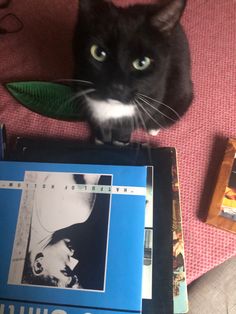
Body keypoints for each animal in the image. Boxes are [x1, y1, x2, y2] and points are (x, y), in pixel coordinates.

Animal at [74, 0, 194, 144]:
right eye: (98, 53)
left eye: (142, 62)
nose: (117, 86)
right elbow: (100, 126)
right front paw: (100, 140)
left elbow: (125, 130)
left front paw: (120, 143)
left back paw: (153, 128)